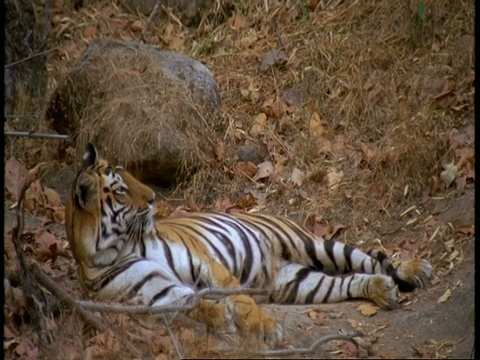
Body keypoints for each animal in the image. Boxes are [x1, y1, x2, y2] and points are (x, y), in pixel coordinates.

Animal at [66, 143, 432, 346]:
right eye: (121, 189)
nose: (154, 198)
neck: (120, 245)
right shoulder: (153, 292)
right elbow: (187, 303)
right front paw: (220, 316)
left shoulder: (205, 261)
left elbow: (239, 297)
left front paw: (263, 328)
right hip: (298, 283)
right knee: (349, 281)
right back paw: (383, 290)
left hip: (312, 244)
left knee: (367, 257)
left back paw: (415, 270)